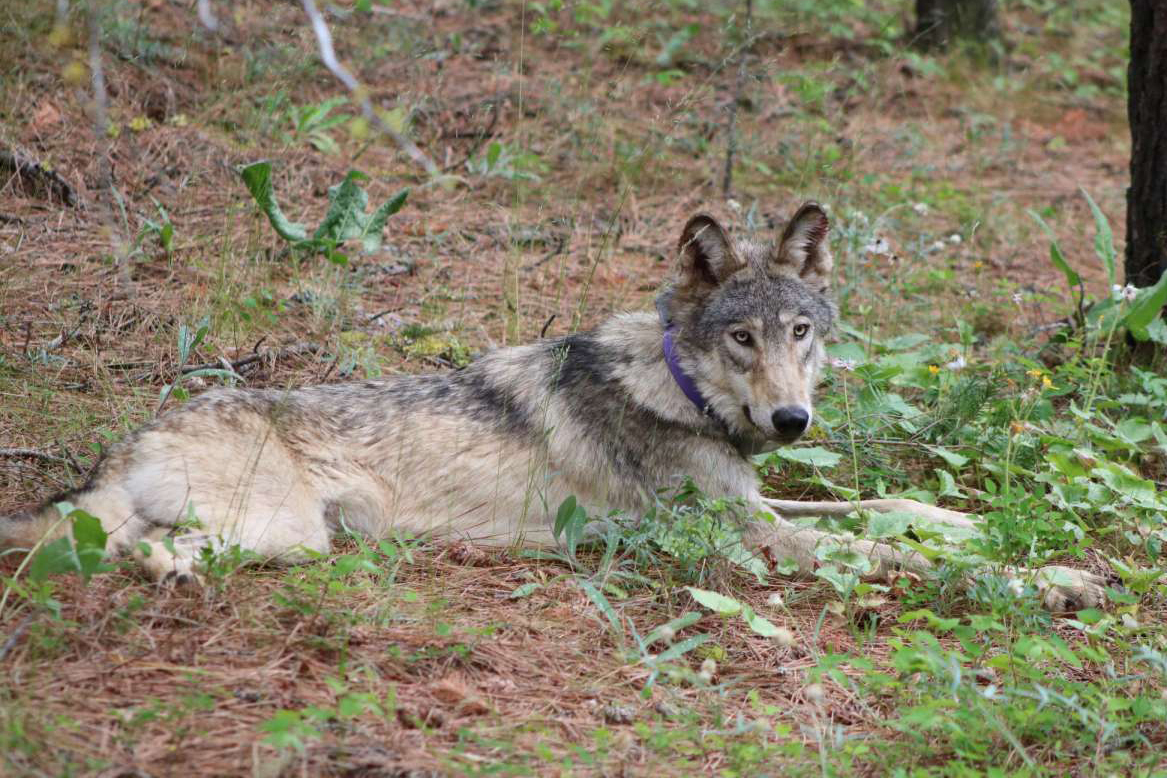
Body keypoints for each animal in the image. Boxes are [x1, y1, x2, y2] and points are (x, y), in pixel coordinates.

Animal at [1, 202, 1104, 611]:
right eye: (740, 339)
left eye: (800, 331)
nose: (791, 423)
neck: (676, 387)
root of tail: (132, 437)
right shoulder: (745, 540)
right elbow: (885, 552)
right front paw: (1050, 578)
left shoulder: (756, 507)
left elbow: (891, 510)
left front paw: (977, 526)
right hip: (284, 533)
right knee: (128, 550)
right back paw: (163, 573)